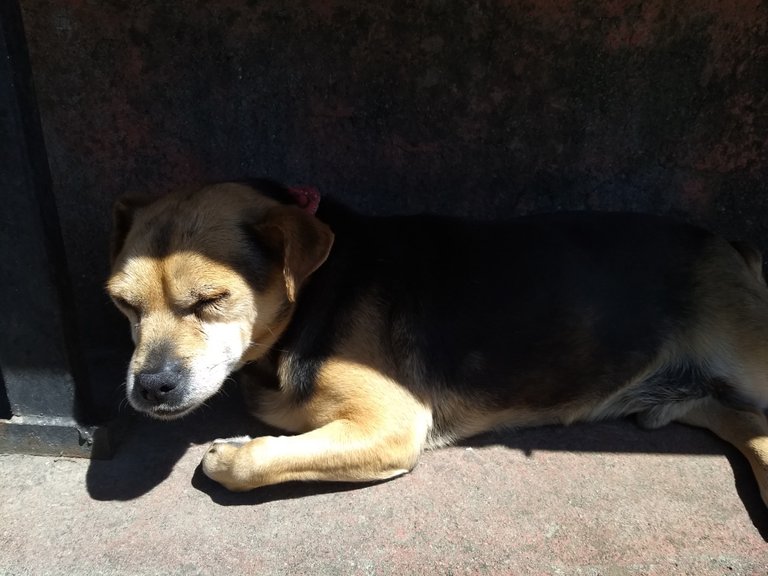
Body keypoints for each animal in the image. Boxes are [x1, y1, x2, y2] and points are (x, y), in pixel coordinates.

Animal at [106, 180, 768, 504]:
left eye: (209, 300)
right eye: (122, 303)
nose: (150, 387)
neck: (318, 292)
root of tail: (730, 245)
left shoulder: (392, 425)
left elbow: (256, 459)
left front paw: (232, 453)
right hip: (701, 397)